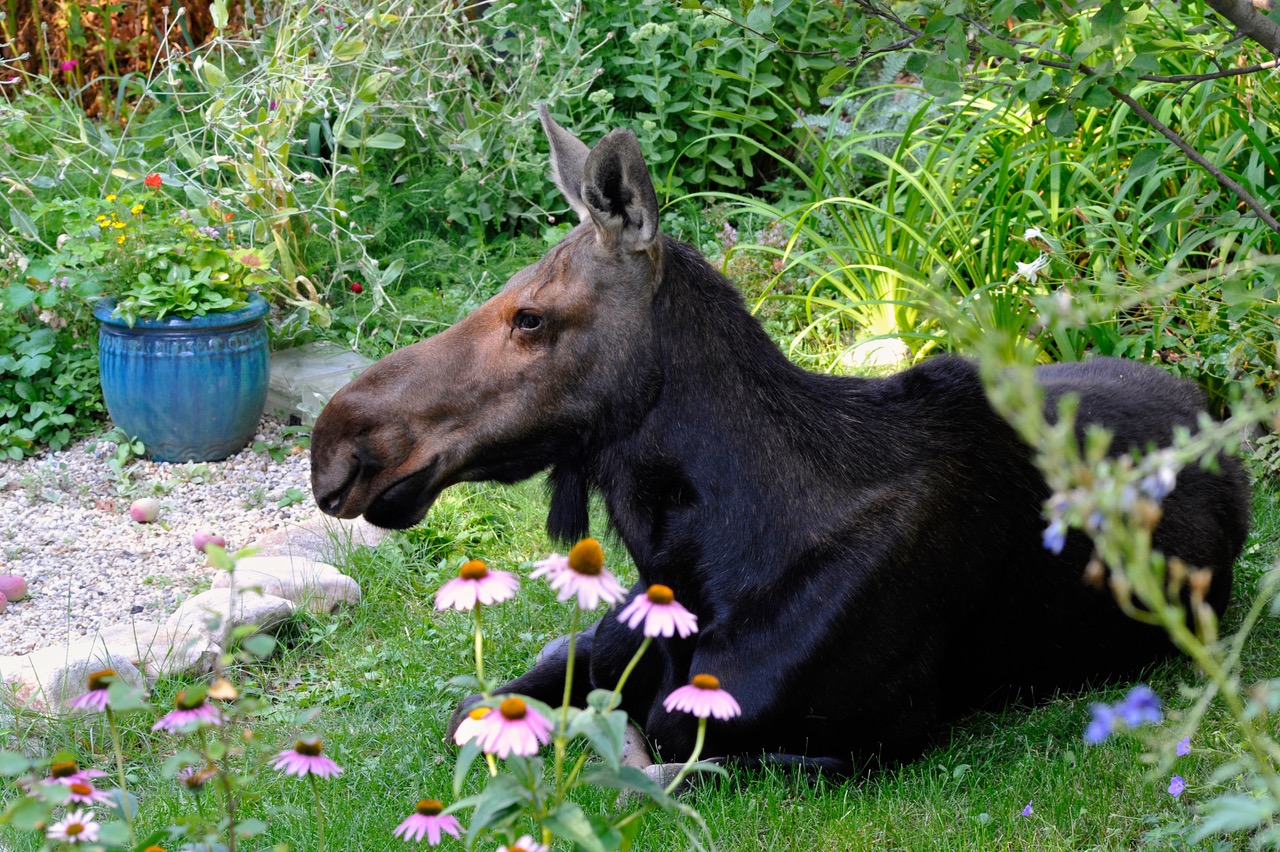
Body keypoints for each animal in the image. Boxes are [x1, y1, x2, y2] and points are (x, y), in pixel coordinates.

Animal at [309, 106, 1249, 767]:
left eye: (531, 316)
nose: (337, 442)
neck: (696, 557)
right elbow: (484, 709)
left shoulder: (864, 734)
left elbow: (656, 735)